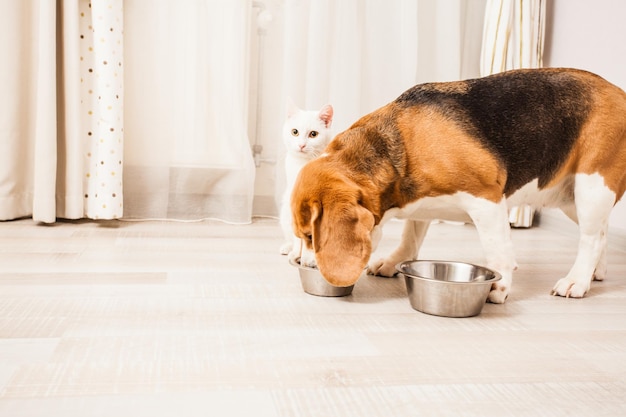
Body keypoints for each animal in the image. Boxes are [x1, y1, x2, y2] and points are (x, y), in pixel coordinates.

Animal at [288, 68, 624, 302]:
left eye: (311, 236)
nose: (306, 265)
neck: (400, 144)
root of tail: (618, 91)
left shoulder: (486, 199)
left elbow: (498, 251)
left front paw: (500, 286)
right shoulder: (419, 202)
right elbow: (411, 238)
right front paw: (393, 262)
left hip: (592, 187)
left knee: (591, 239)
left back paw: (576, 280)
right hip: (571, 199)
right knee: (601, 233)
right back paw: (595, 273)